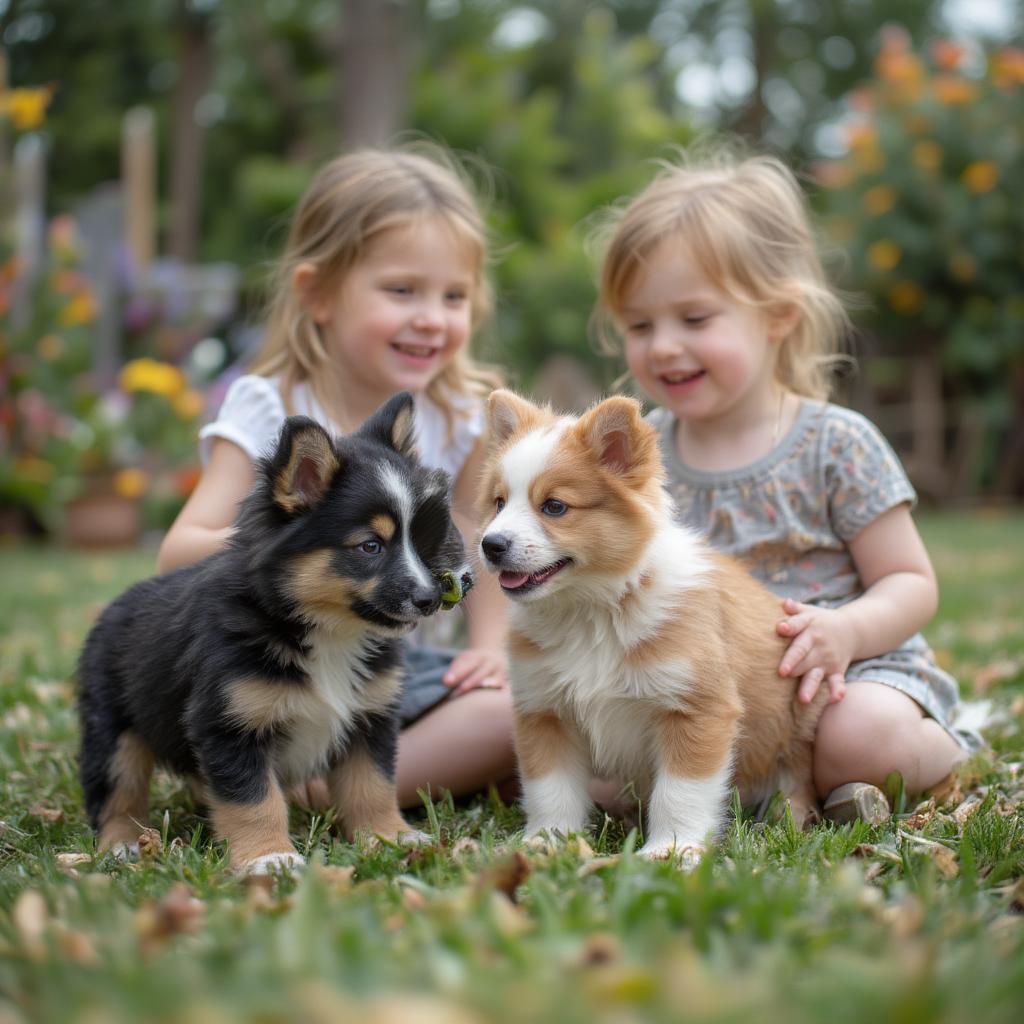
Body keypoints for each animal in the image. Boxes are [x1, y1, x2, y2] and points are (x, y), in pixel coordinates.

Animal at [78, 391, 471, 872]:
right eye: (370, 547)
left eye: (424, 542)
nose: (430, 598)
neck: (326, 633)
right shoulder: (230, 723)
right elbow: (253, 799)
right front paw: (270, 859)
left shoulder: (370, 717)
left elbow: (372, 785)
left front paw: (389, 837)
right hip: (112, 727)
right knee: (116, 790)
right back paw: (122, 843)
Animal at [481, 387, 831, 860]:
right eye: (499, 502)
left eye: (554, 507)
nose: (490, 544)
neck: (594, 611)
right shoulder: (545, 712)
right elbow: (550, 790)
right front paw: (546, 843)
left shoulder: (696, 708)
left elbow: (680, 792)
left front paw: (672, 850)